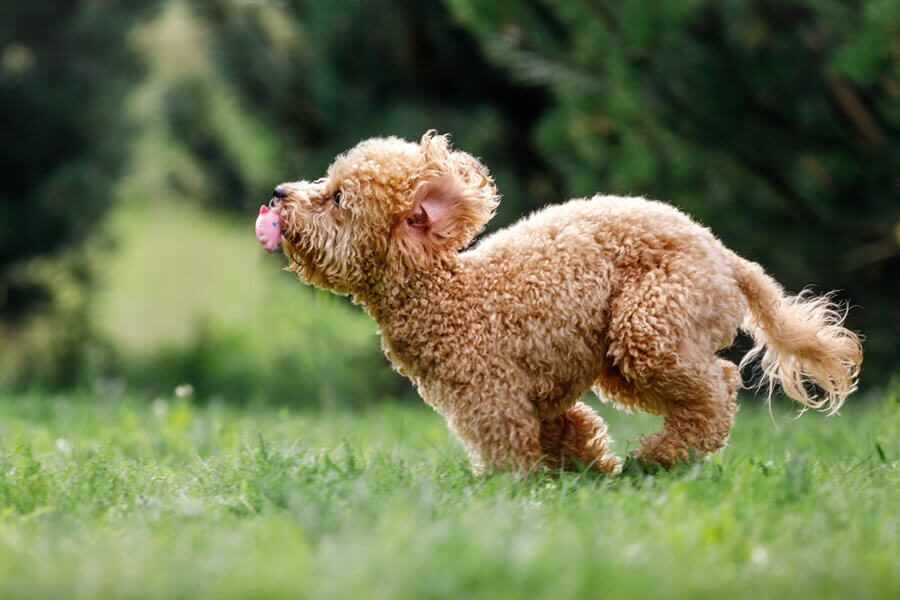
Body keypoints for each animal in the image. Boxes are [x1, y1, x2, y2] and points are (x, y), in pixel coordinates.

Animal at [258, 132, 856, 478]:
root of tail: (726, 258)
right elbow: (572, 431)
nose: (277, 194)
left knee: (718, 390)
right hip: (623, 356)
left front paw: (514, 493)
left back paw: (659, 458)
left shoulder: (491, 396)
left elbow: (509, 452)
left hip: (651, 323)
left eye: (337, 197)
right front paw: (588, 476)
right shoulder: (542, 402)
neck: (446, 292)